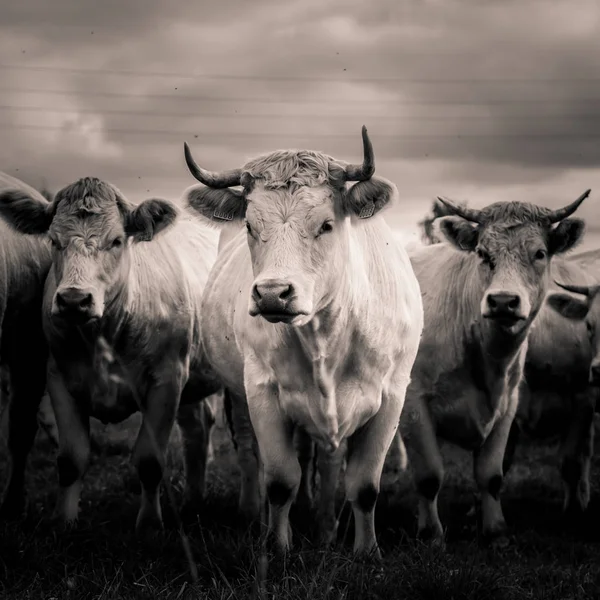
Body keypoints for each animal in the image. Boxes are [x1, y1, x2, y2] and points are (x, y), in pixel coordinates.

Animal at [404, 190, 592, 548]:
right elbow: (429, 476)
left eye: (539, 253)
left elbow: (491, 474)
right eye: (482, 252)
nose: (503, 301)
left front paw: (495, 531)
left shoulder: (508, 406)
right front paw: (431, 534)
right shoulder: (413, 404)